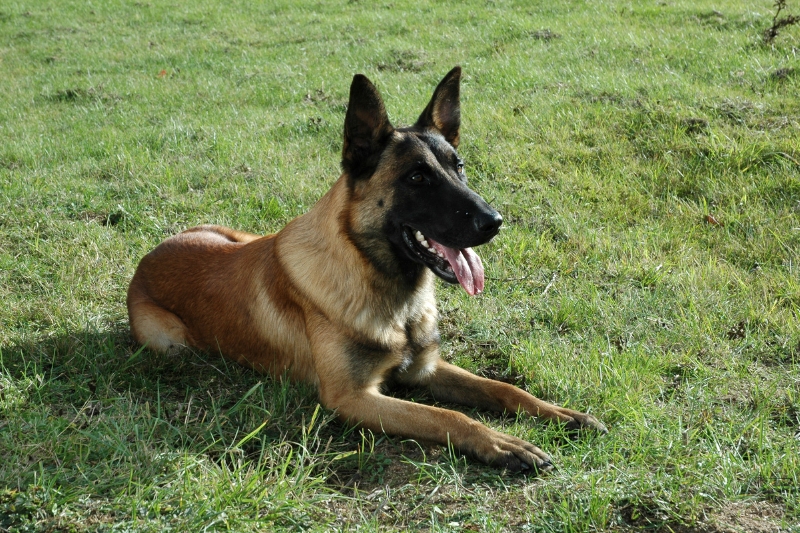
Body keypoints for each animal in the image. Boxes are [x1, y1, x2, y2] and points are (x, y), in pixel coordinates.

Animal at [126, 66, 608, 470]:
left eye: (459, 167)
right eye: (417, 178)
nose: (494, 221)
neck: (390, 292)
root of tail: (149, 259)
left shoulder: (425, 368)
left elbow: (504, 388)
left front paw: (560, 413)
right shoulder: (353, 397)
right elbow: (448, 417)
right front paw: (502, 443)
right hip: (170, 343)